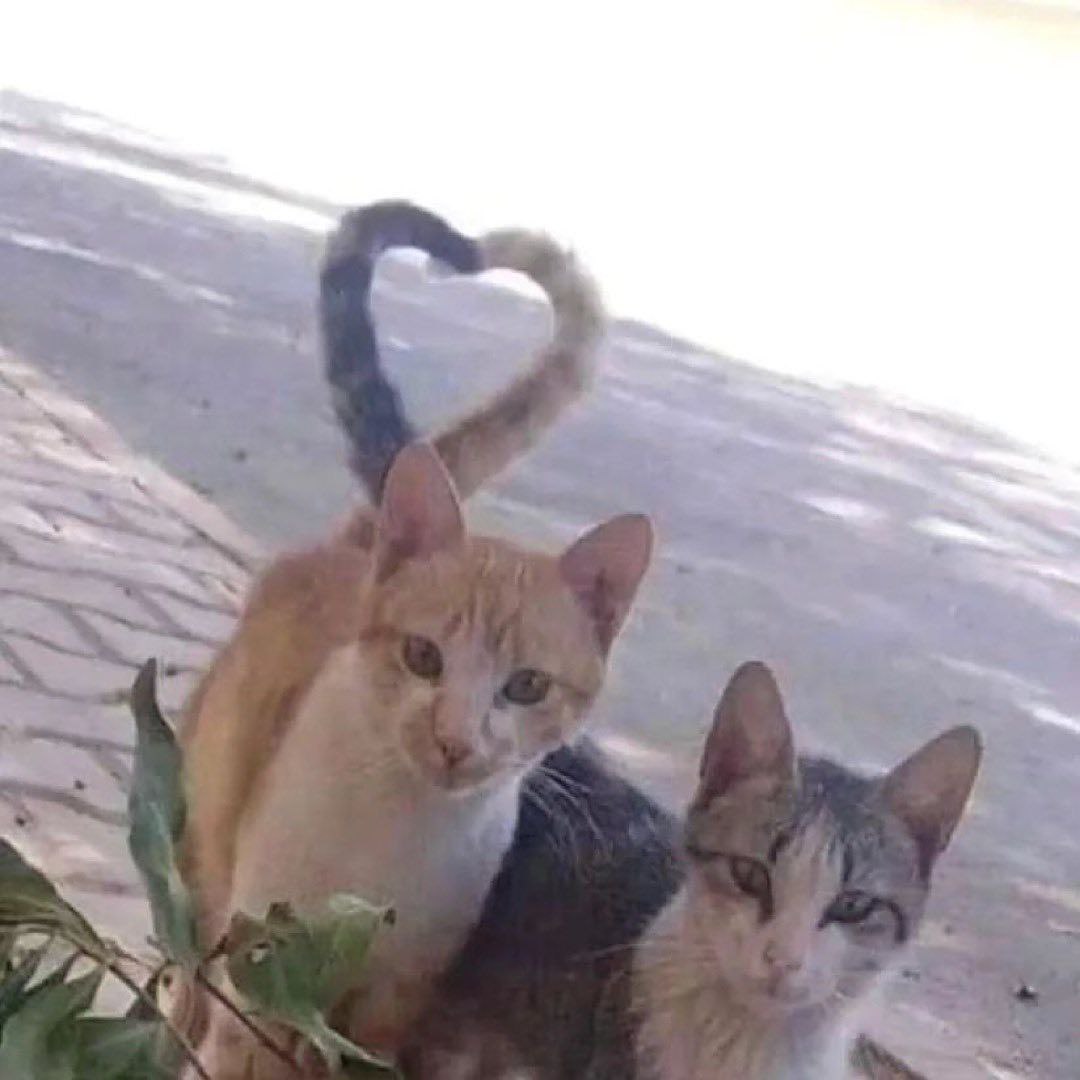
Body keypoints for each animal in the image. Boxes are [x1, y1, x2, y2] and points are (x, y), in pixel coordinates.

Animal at [177, 202, 652, 1077]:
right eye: (422, 658)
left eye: (527, 685)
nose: (455, 738)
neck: (397, 836)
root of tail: (359, 545)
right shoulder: (264, 974)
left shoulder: (396, 1003)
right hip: (204, 850)